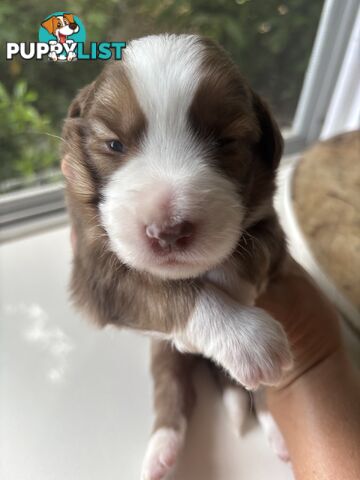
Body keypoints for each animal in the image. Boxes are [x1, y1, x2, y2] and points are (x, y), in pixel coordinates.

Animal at [62, 33, 292, 480]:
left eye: (225, 141)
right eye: (114, 144)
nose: (167, 231)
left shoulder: (271, 228)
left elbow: (253, 250)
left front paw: (228, 281)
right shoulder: (96, 272)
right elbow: (166, 292)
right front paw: (249, 339)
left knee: (259, 393)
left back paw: (277, 433)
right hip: (161, 355)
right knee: (173, 392)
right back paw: (161, 453)